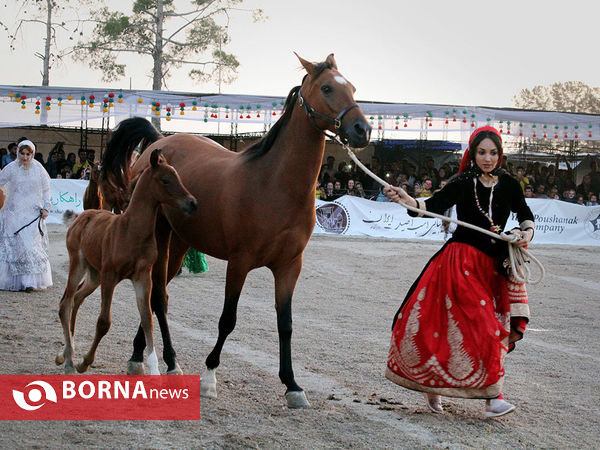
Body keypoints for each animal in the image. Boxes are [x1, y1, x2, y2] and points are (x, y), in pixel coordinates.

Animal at [56, 150, 198, 376]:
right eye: (165, 180)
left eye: (179, 177)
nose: (192, 203)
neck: (131, 231)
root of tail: (81, 216)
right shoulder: (110, 277)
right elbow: (104, 322)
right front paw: (85, 361)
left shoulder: (142, 278)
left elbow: (148, 320)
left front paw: (154, 370)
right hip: (78, 265)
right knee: (65, 303)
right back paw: (69, 361)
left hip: (94, 274)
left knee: (77, 298)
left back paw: (65, 353)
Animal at [101, 53, 370, 408]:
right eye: (327, 88)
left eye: (352, 87)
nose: (362, 130)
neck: (275, 185)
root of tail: (159, 143)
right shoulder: (239, 263)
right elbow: (228, 319)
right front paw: (210, 376)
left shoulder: (290, 266)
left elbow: (286, 325)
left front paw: (292, 385)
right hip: (159, 239)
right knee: (157, 297)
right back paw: (165, 362)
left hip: (180, 244)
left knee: (157, 298)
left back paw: (146, 358)